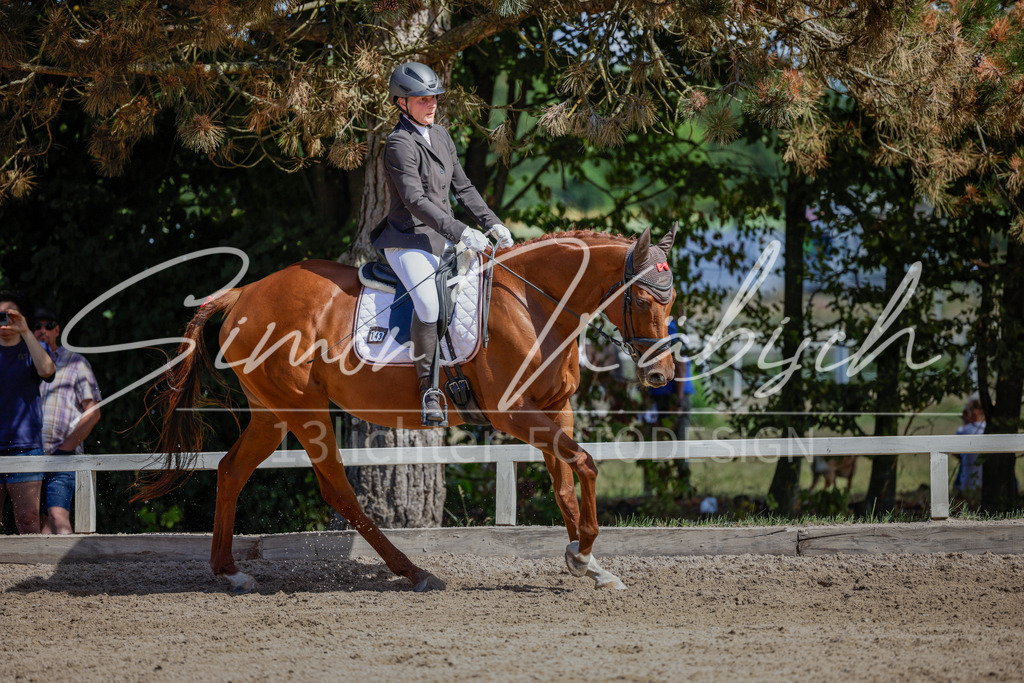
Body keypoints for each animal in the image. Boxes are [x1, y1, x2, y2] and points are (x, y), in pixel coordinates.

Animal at [135, 226, 678, 593]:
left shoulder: (555, 408)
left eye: (671, 302)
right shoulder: (515, 414)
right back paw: (413, 572)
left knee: (231, 470)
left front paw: (590, 564)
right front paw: (583, 552)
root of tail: (244, 293)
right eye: (643, 299)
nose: (661, 375)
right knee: (338, 491)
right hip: (304, 409)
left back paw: (230, 572)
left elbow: (566, 484)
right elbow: (585, 463)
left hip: (271, 413)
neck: (533, 301)